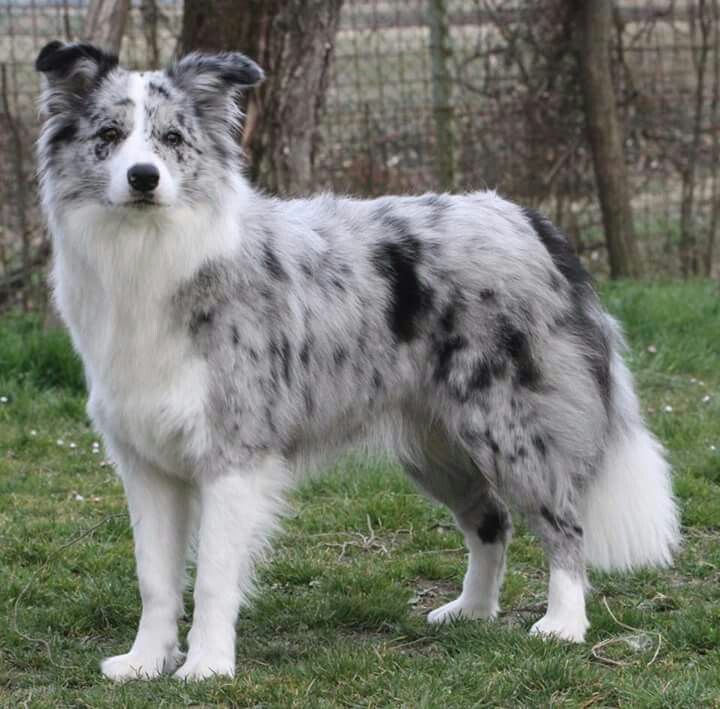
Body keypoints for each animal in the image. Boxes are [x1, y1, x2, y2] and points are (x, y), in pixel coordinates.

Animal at [35, 40, 680, 680]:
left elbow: (215, 575)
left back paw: (564, 625)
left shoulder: (234, 455)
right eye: (111, 135)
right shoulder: (146, 463)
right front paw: (146, 661)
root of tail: (526, 219)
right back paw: (470, 611)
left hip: (508, 428)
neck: (150, 255)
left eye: (172, 138)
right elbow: (155, 579)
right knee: (492, 521)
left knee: (562, 521)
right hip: (436, 447)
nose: (144, 177)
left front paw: (207, 665)